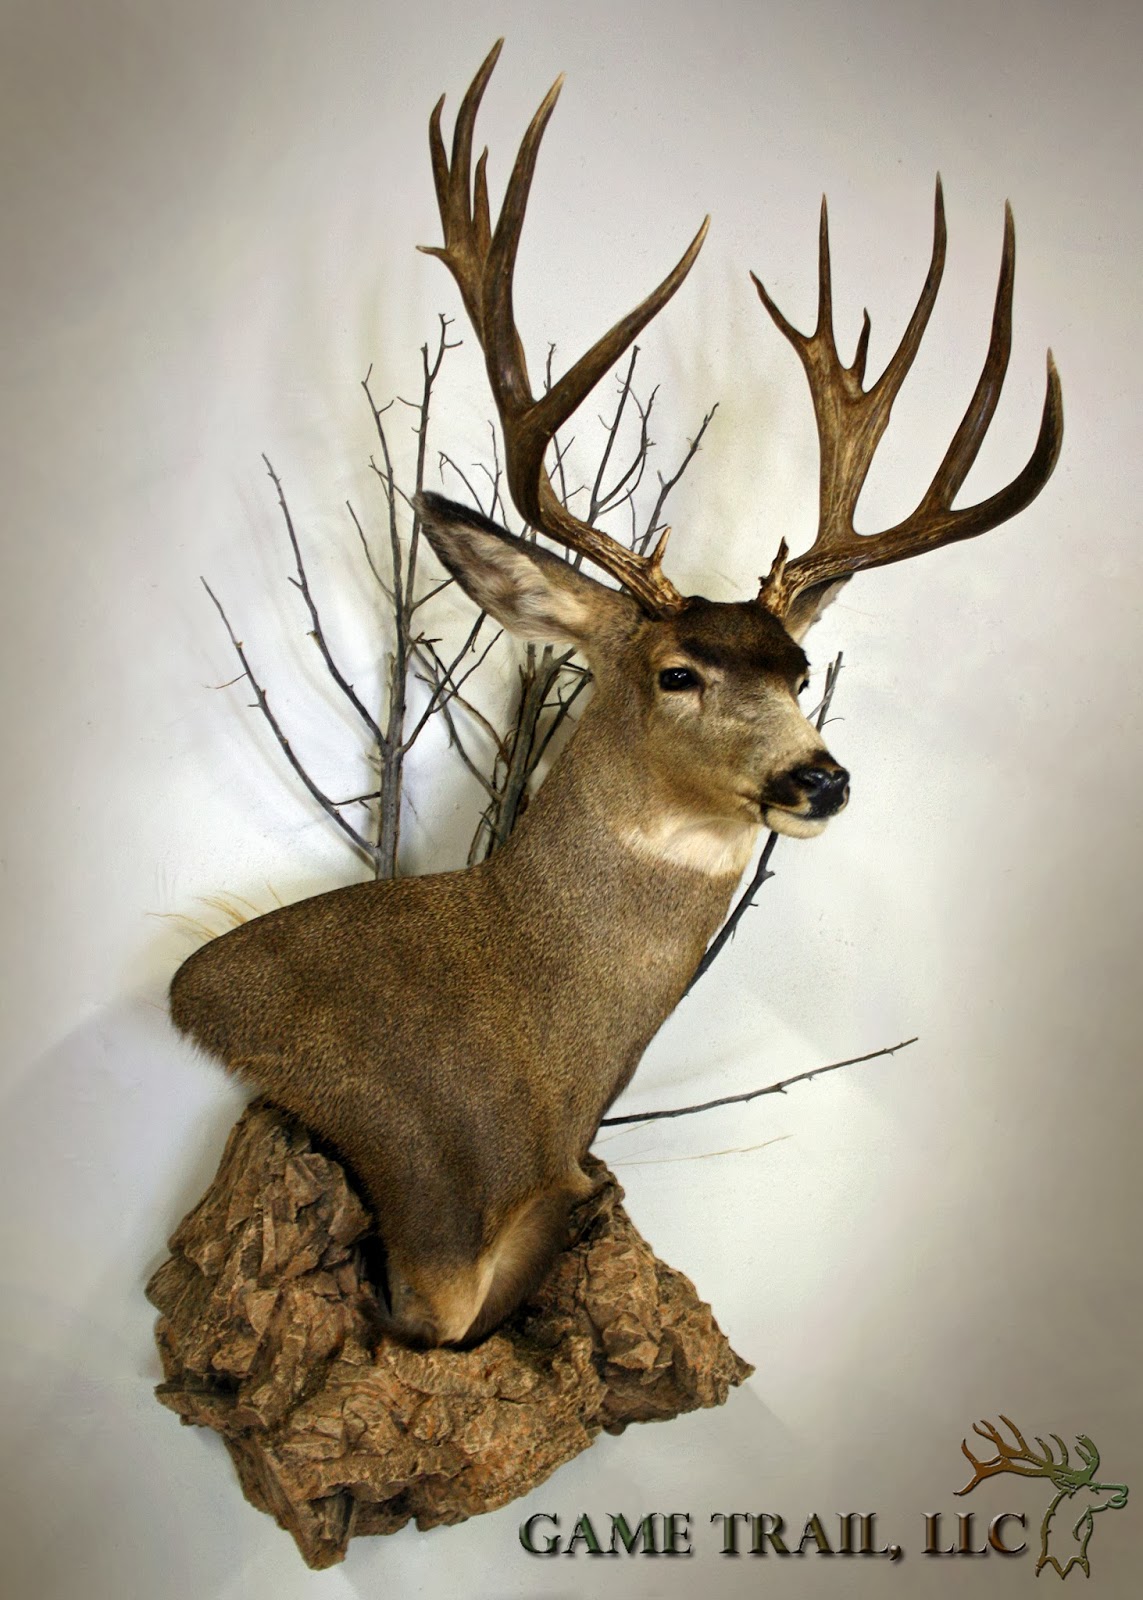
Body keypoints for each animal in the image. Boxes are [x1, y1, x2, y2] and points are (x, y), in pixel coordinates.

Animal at [169, 40, 1063, 1348]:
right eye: (676, 670)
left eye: (798, 669)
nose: (819, 775)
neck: (547, 1074)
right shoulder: (430, 1217)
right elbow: (470, 1298)